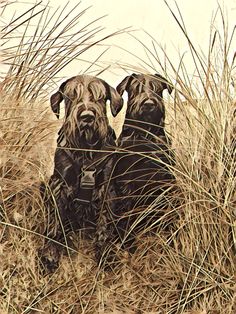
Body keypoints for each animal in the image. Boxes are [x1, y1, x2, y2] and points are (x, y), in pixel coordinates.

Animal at [40, 74, 123, 270]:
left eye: (100, 97)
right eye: (72, 95)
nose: (87, 117)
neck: (86, 149)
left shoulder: (107, 187)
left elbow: (105, 221)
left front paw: (104, 252)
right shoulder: (59, 184)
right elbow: (55, 220)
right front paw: (50, 253)